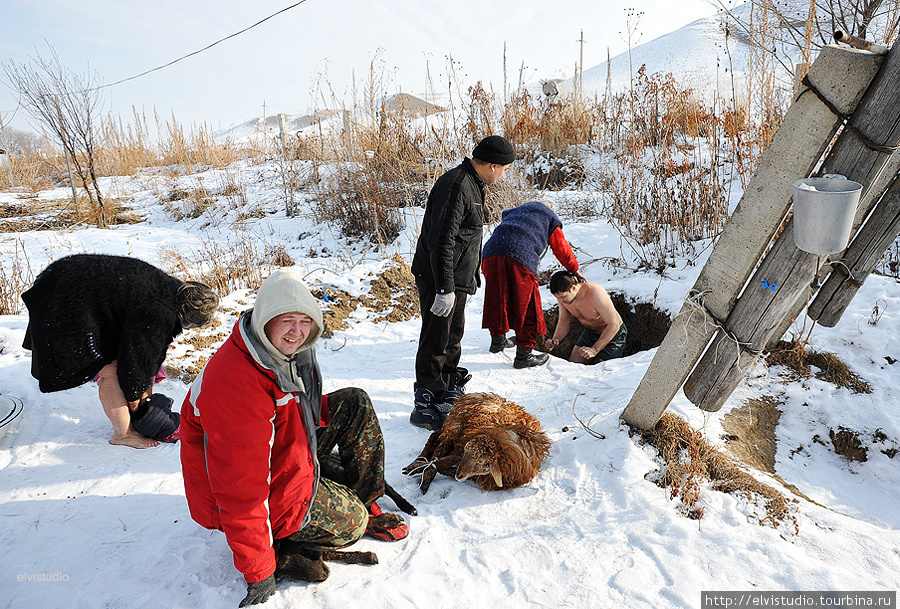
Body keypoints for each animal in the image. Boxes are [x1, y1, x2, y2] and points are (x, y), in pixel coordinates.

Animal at [404, 392, 552, 492]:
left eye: (481, 461)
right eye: (467, 453)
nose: (459, 475)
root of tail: (472, 394)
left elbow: (443, 465)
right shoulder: (461, 448)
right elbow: (441, 462)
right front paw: (420, 470)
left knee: (436, 438)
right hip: (454, 427)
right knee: (437, 443)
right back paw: (417, 465)